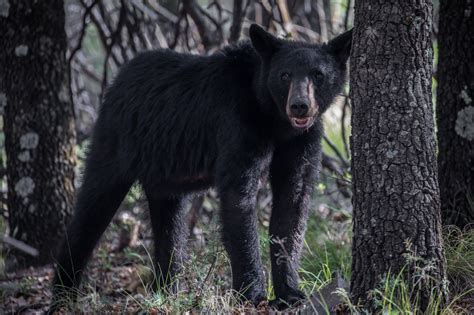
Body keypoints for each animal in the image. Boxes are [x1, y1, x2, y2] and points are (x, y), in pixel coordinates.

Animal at [51, 24, 352, 312]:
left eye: (318, 75)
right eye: (285, 75)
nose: (300, 106)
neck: (274, 119)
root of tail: (117, 79)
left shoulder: (302, 141)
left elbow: (293, 203)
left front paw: (290, 293)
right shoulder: (238, 124)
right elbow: (239, 199)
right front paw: (252, 294)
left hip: (165, 175)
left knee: (171, 228)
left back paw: (166, 292)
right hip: (114, 142)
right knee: (92, 210)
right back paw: (62, 295)